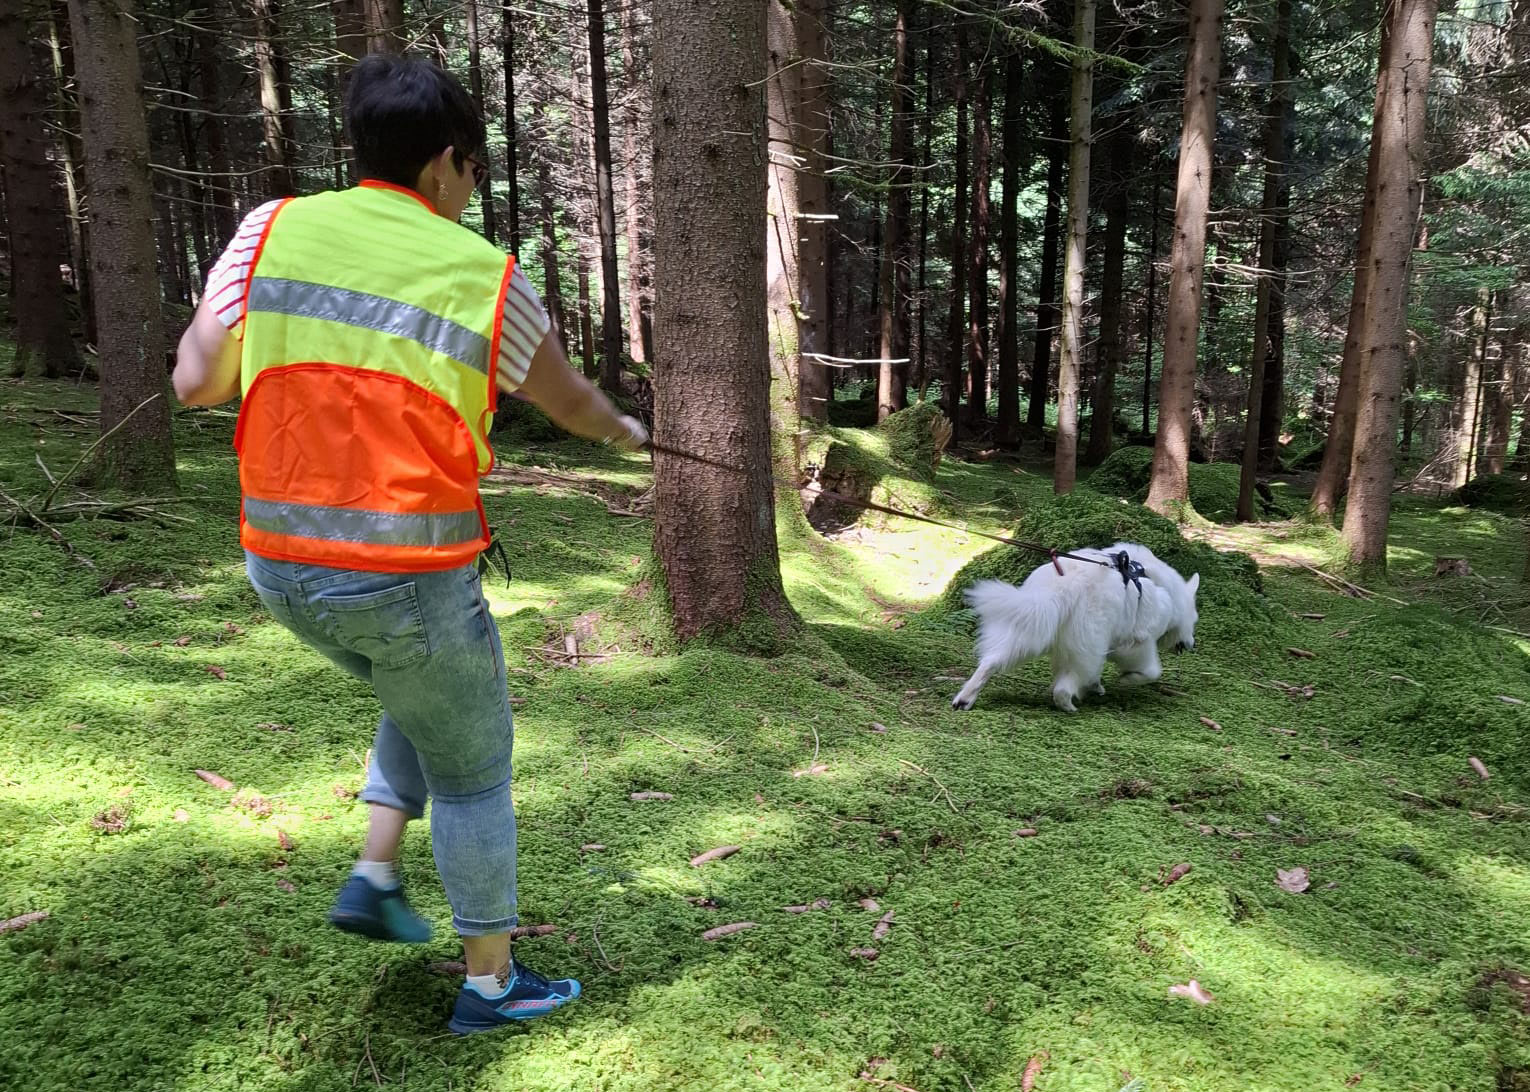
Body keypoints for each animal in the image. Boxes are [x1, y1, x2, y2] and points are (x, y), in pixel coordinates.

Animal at [950, 543, 1200, 712]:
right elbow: (1152, 671)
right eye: (1195, 621)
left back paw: (965, 699)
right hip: (1080, 647)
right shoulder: (1137, 642)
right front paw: (1126, 679)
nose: (1191, 645)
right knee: (1062, 689)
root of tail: (1063, 587)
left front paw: (1099, 685)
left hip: (1027, 633)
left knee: (990, 662)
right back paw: (1069, 706)